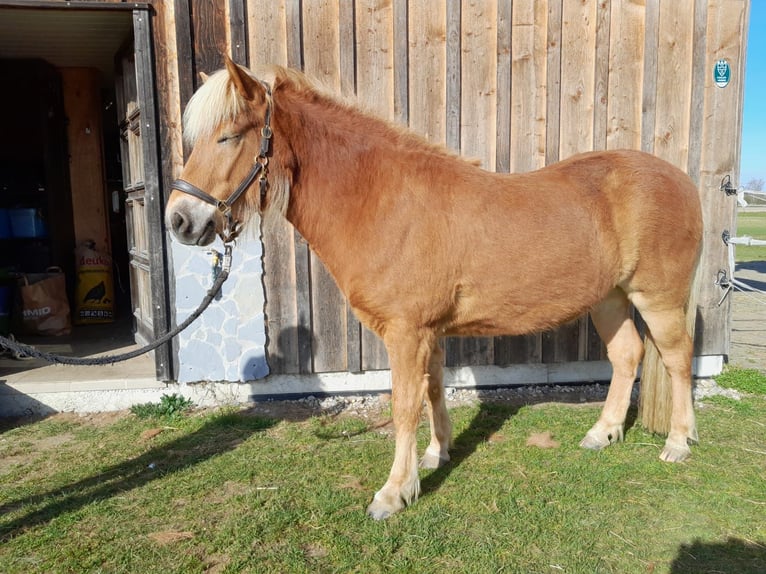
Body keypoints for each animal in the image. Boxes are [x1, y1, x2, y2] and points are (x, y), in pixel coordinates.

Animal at [166, 57, 703, 520]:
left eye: (229, 136)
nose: (179, 220)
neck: (382, 200)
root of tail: (683, 181)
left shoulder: (406, 332)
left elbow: (405, 405)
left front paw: (394, 492)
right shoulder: (429, 332)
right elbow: (433, 390)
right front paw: (436, 454)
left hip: (657, 300)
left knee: (677, 359)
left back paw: (678, 442)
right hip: (610, 299)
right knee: (628, 355)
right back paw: (603, 432)